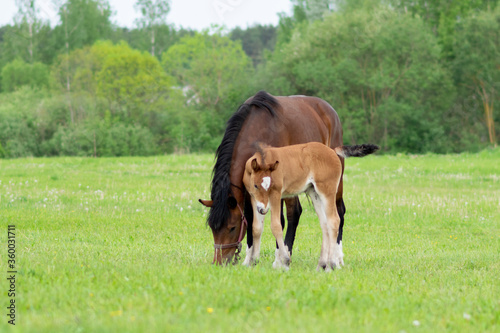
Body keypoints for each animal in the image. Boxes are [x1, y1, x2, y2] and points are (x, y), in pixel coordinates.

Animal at [199, 91, 344, 264]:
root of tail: (330, 110)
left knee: (334, 211)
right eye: (212, 228)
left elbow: (279, 220)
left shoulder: (276, 187)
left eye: (232, 227)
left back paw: (336, 257)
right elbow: (251, 219)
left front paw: (278, 258)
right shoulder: (251, 190)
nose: (219, 262)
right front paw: (250, 259)